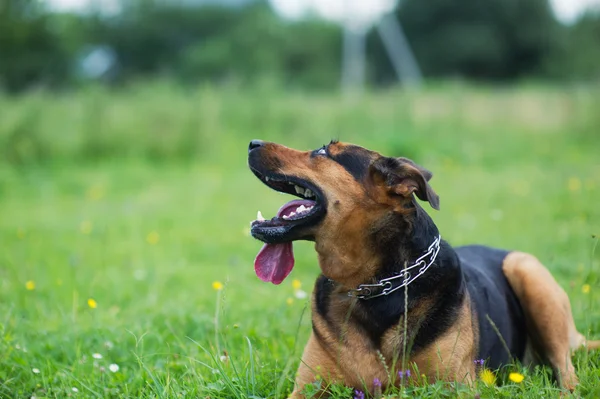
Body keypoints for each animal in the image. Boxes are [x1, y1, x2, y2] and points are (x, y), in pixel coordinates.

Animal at [246, 140, 596, 396]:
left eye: (322, 151)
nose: (252, 142)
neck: (372, 285)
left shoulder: (456, 388)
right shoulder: (307, 389)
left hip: (527, 271)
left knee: (567, 372)